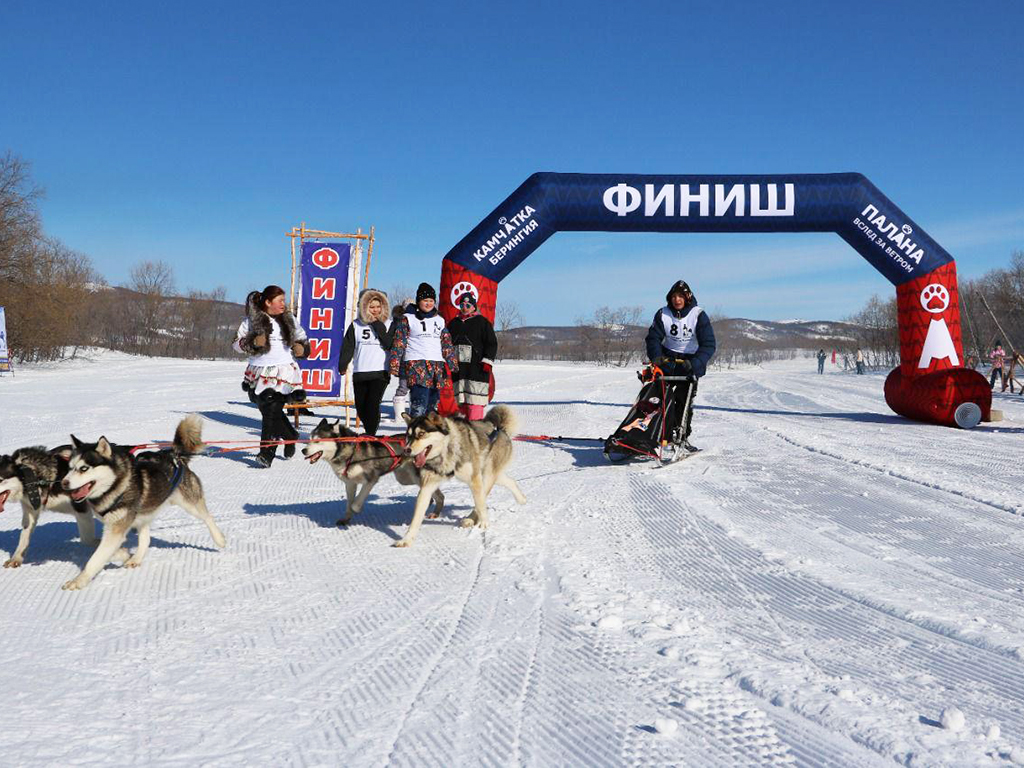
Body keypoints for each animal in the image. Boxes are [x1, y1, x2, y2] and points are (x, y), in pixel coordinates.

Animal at [59, 417, 226, 593]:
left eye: (84, 468)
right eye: (70, 468)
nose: (64, 483)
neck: (117, 485)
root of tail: (174, 454)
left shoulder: (116, 529)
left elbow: (95, 559)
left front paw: (78, 581)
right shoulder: (113, 528)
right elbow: (103, 548)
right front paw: (124, 554)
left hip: (190, 503)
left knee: (207, 517)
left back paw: (219, 539)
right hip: (143, 516)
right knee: (146, 539)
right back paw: (136, 559)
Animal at [299, 421, 444, 528]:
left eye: (318, 441)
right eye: (310, 439)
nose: (303, 450)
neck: (350, 452)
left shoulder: (371, 479)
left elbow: (355, 502)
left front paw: (357, 509)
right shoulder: (350, 483)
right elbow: (348, 504)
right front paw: (346, 519)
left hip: (413, 476)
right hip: (405, 478)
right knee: (436, 492)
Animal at [399, 409, 528, 548]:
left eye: (421, 433)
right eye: (408, 436)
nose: (406, 450)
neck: (446, 450)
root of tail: (501, 430)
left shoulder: (474, 479)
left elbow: (480, 505)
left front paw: (484, 524)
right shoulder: (427, 487)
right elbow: (416, 517)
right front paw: (406, 539)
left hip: (486, 476)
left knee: (481, 499)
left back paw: (471, 519)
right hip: (489, 474)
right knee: (510, 481)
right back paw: (521, 499)